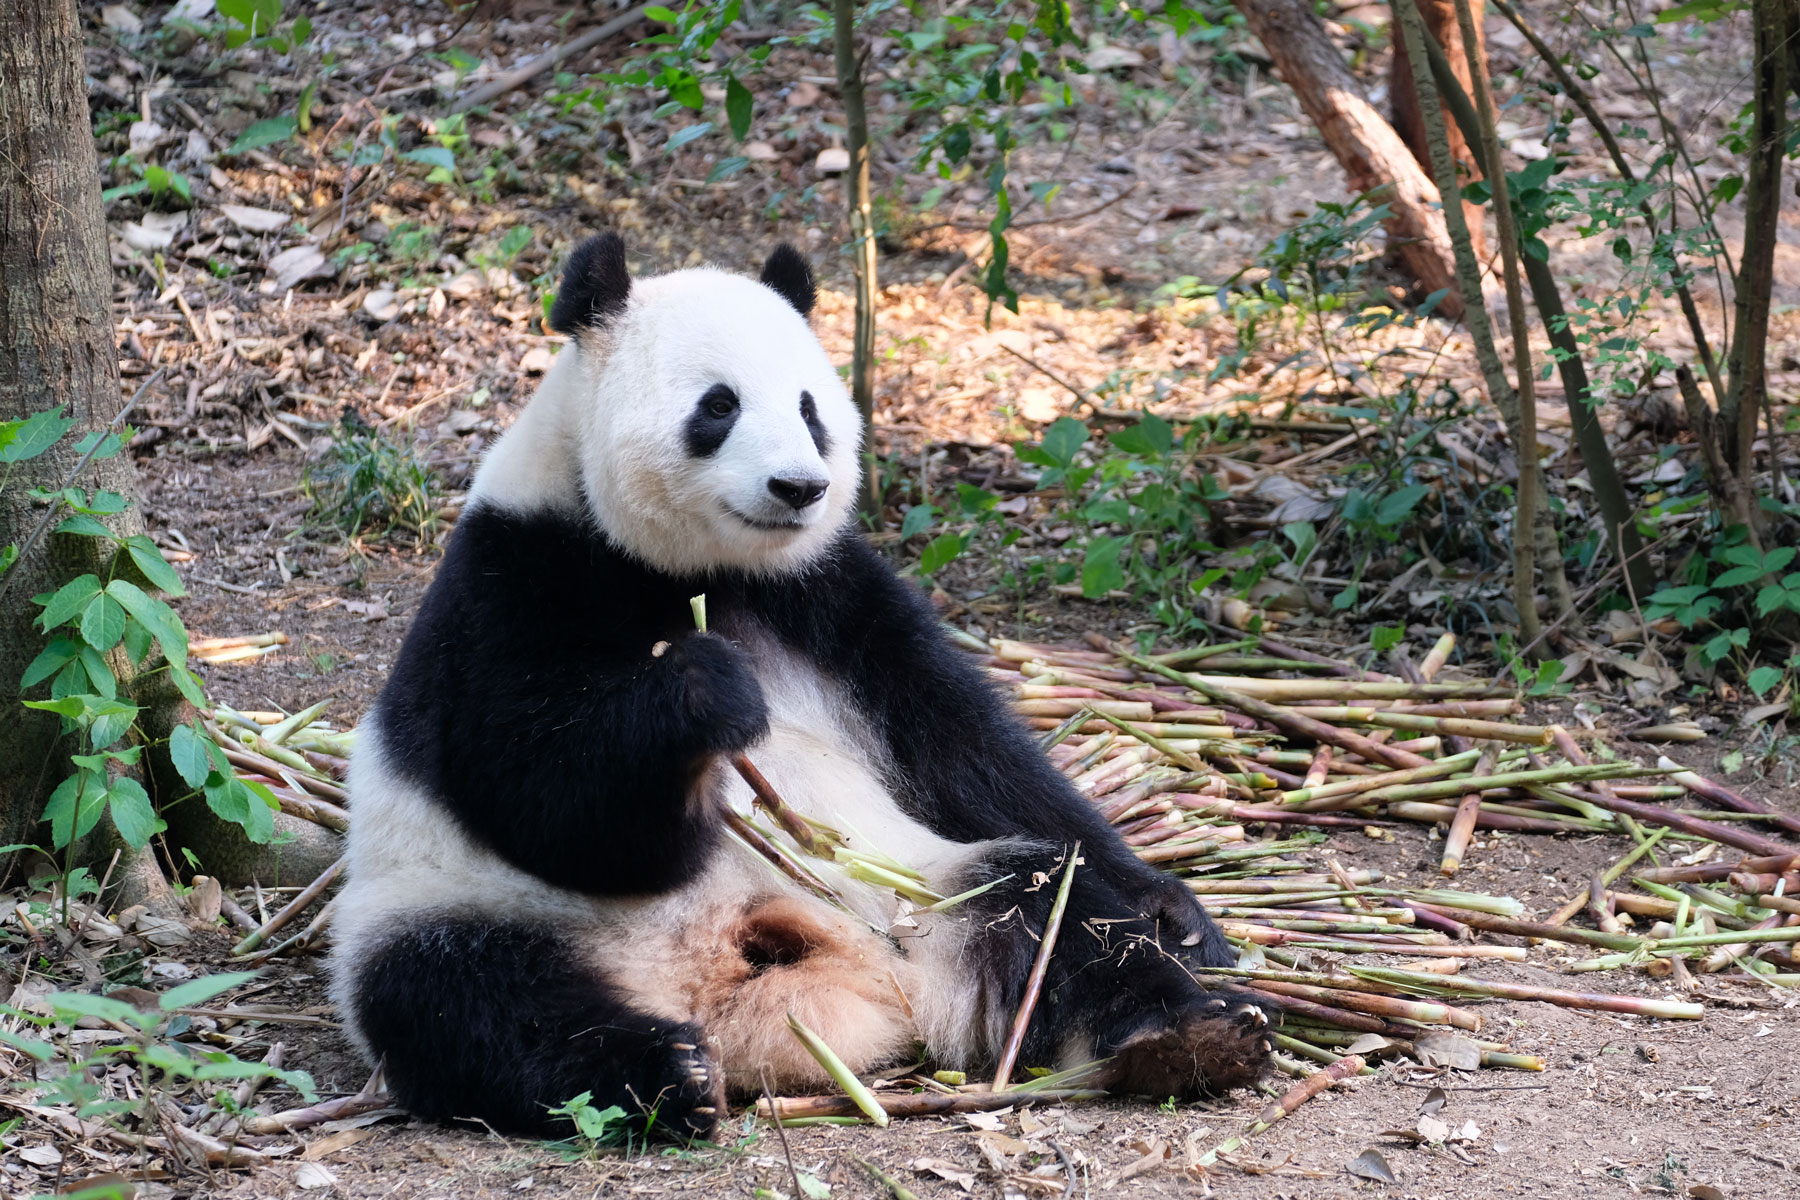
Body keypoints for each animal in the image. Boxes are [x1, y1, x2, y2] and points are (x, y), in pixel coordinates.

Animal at [331, 237, 1274, 1144]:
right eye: (719, 406)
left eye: (810, 409)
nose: (798, 487)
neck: (695, 568)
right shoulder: (514, 581)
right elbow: (547, 801)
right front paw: (706, 698)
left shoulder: (830, 592)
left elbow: (963, 748)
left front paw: (1175, 911)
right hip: (460, 913)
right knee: (465, 1001)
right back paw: (668, 1075)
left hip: (919, 897)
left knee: (1041, 899)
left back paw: (1192, 1034)